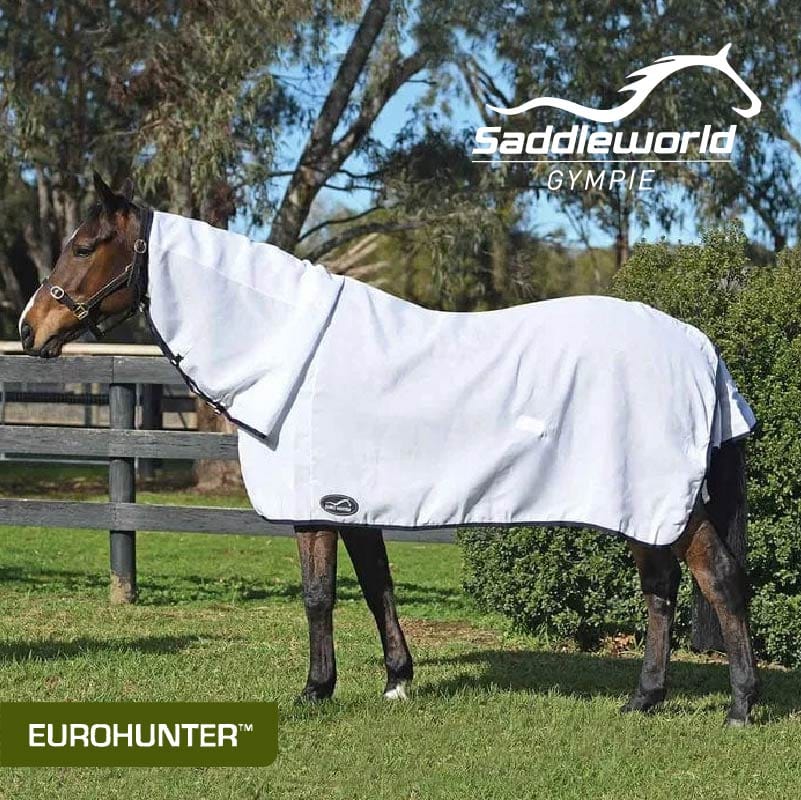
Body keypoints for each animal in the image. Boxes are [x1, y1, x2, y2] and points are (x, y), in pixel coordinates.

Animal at [18, 173, 760, 725]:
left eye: (84, 246)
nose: (30, 329)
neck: (293, 353)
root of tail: (702, 349)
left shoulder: (313, 506)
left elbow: (319, 594)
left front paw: (315, 690)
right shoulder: (353, 502)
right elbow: (377, 585)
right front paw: (397, 680)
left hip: (663, 502)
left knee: (717, 579)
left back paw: (740, 707)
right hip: (641, 504)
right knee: (661, 589)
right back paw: (644, 699)